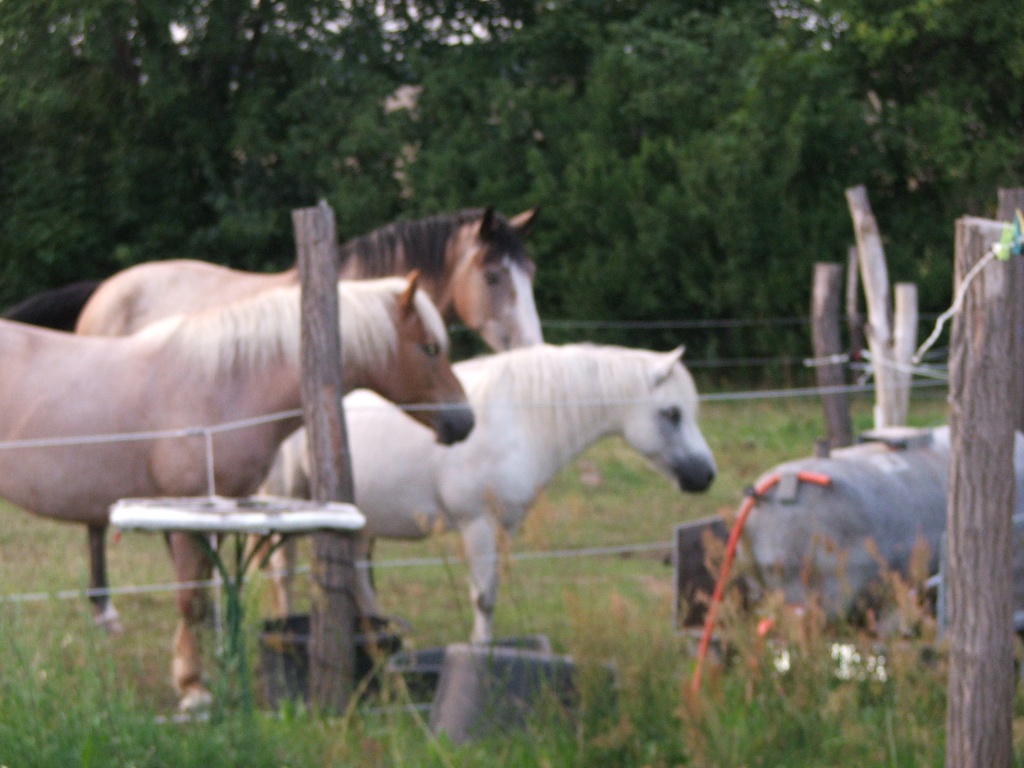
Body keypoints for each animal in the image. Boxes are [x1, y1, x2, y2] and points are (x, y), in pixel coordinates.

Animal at [0, 274, 474, 710]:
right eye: (430, 348)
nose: (464, 421)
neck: (225, 383)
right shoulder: (187, 515)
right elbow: (192, 601)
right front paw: (193, 689)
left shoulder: (221, 513)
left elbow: (212, 597)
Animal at [261, 343, 717, 643]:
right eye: (672, 413)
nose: (705, 476)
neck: (517, 420)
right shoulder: (476, 525)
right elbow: (481, 597)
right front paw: (480, 652)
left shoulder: (503, 528)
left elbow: (492, 593)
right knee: (283, 574)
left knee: (355, 574)